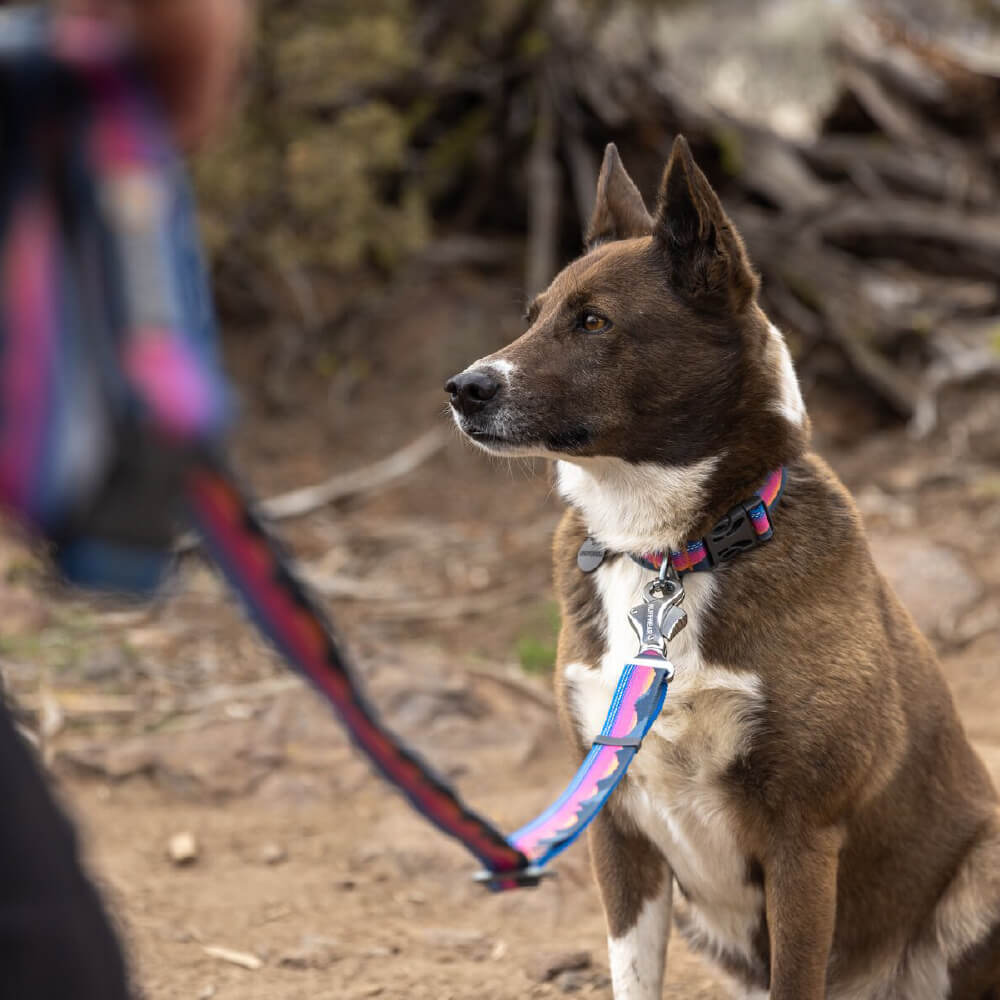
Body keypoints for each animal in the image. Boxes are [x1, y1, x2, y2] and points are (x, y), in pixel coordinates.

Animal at [450, 135, 1000, 1000]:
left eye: (594, 321)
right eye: (531, 318)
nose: (461, 389)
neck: (672, 550)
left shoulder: (802, 836)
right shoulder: (616, 824)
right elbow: (632, 977)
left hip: (985, 867)